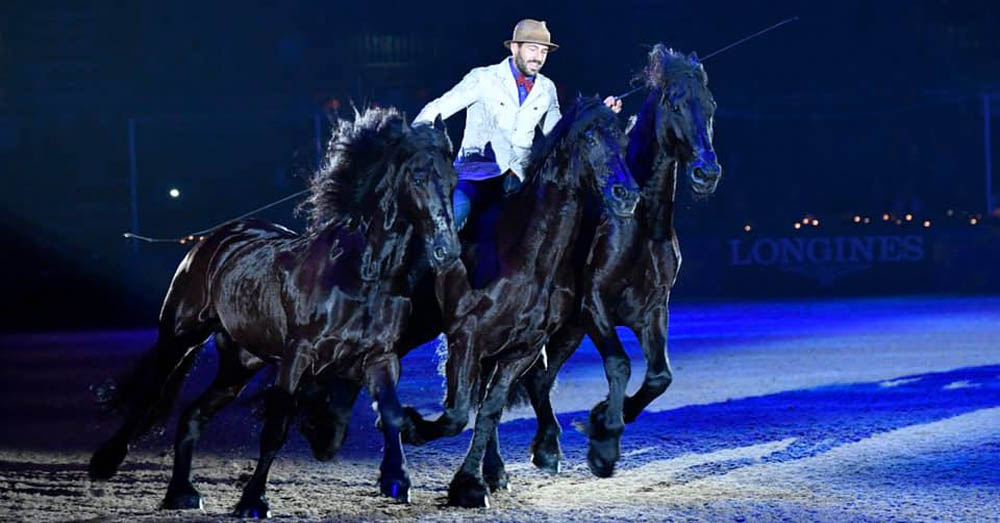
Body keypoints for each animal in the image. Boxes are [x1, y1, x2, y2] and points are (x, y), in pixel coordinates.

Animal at [88, 108, 458, 516]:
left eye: (454, 179)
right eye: (418, 177)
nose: (447, 250)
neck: (361, 273)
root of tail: (213, 240)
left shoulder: (380, 357)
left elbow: (390, 413)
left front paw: (397, 480)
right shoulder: (297, 355)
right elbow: (276, 428)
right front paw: (253, 500)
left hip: (239, 365)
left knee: (191, 416)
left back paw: (182, 492)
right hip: (180, 337)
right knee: (150, 395)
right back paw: (106, 462)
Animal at [394, 97, 636, 508]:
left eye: (623, 140)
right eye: (590, 138)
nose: (627, 195)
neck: (527, 257)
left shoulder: (521, 349)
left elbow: (489, 409)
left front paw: (471, 483)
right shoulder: (466, 337)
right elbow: (457, 413)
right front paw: (417, 431)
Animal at [520, 45, 724, 478]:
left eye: (711, 106)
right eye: (675, 104)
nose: (707, 173)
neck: (637, 224)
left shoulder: (654, 310)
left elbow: (660, 377)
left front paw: (601, 420)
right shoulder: (594, 305)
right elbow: (619, 365)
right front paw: (604, 443)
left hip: (569, 332)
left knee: (539, 379)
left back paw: (546, 448)